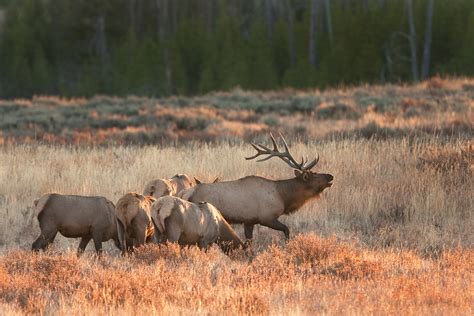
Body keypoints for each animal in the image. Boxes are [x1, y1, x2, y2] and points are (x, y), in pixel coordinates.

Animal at [180, 133, 336, 239]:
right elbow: (287, 230)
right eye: (313, 175)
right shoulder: (267, 217)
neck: (283, 197)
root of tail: (185, 193)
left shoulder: (249, 221)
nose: (330, 176)